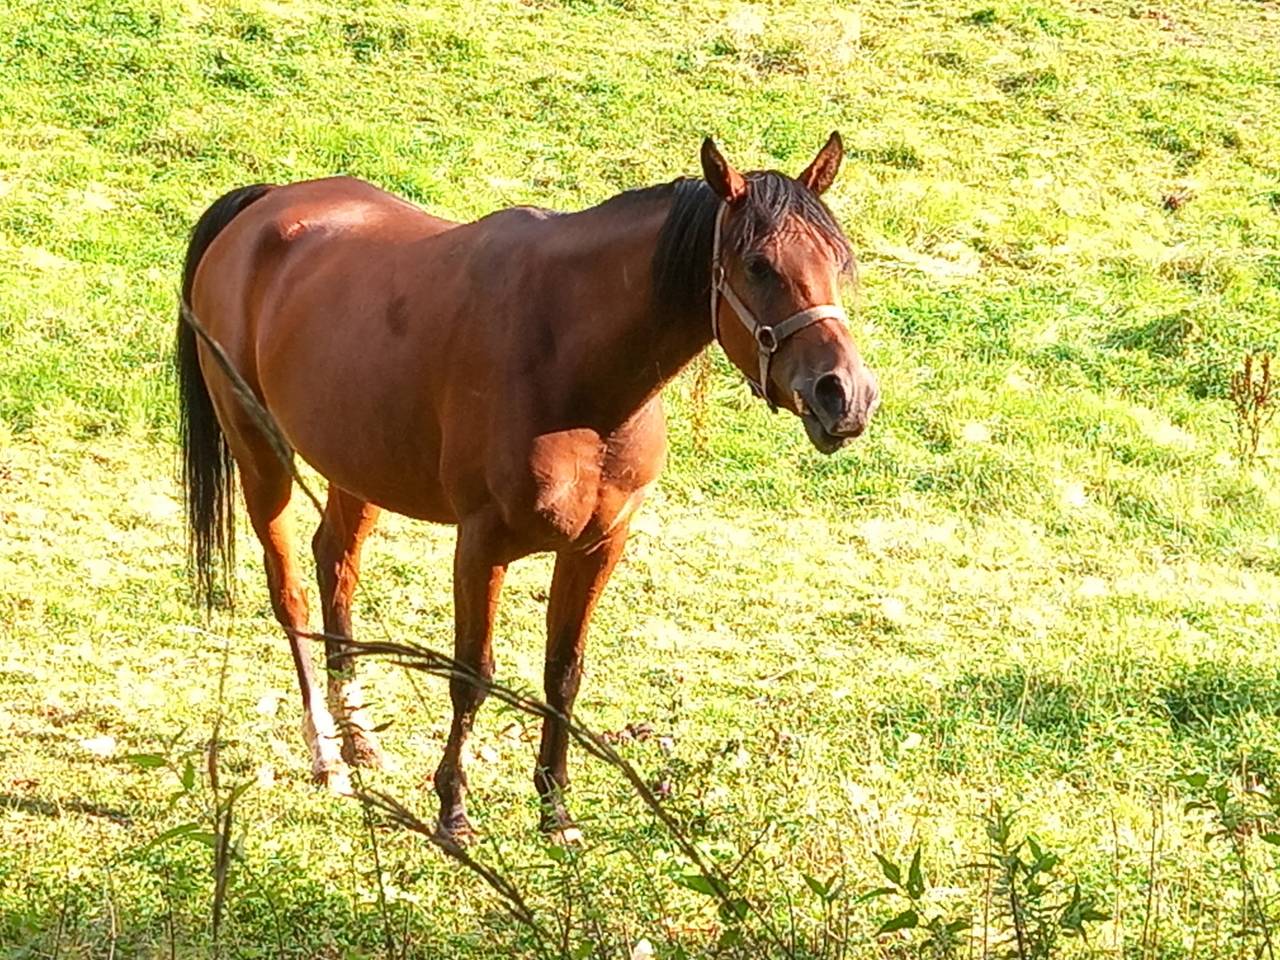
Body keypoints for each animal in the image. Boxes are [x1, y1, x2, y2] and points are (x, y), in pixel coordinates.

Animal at [176, 133, 880, 842]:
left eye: (837, 262)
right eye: (759, 265)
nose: (846, 395)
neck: (573, 367)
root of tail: (263, 207)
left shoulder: (598, 546)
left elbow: (563, 672)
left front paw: (555, 809)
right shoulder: (481, 543)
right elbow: (472, 676)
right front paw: (453, 812)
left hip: (359, 464)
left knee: (335, 564)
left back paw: (361, 740)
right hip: (260, 454)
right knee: (290, 593)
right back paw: (327, 754)